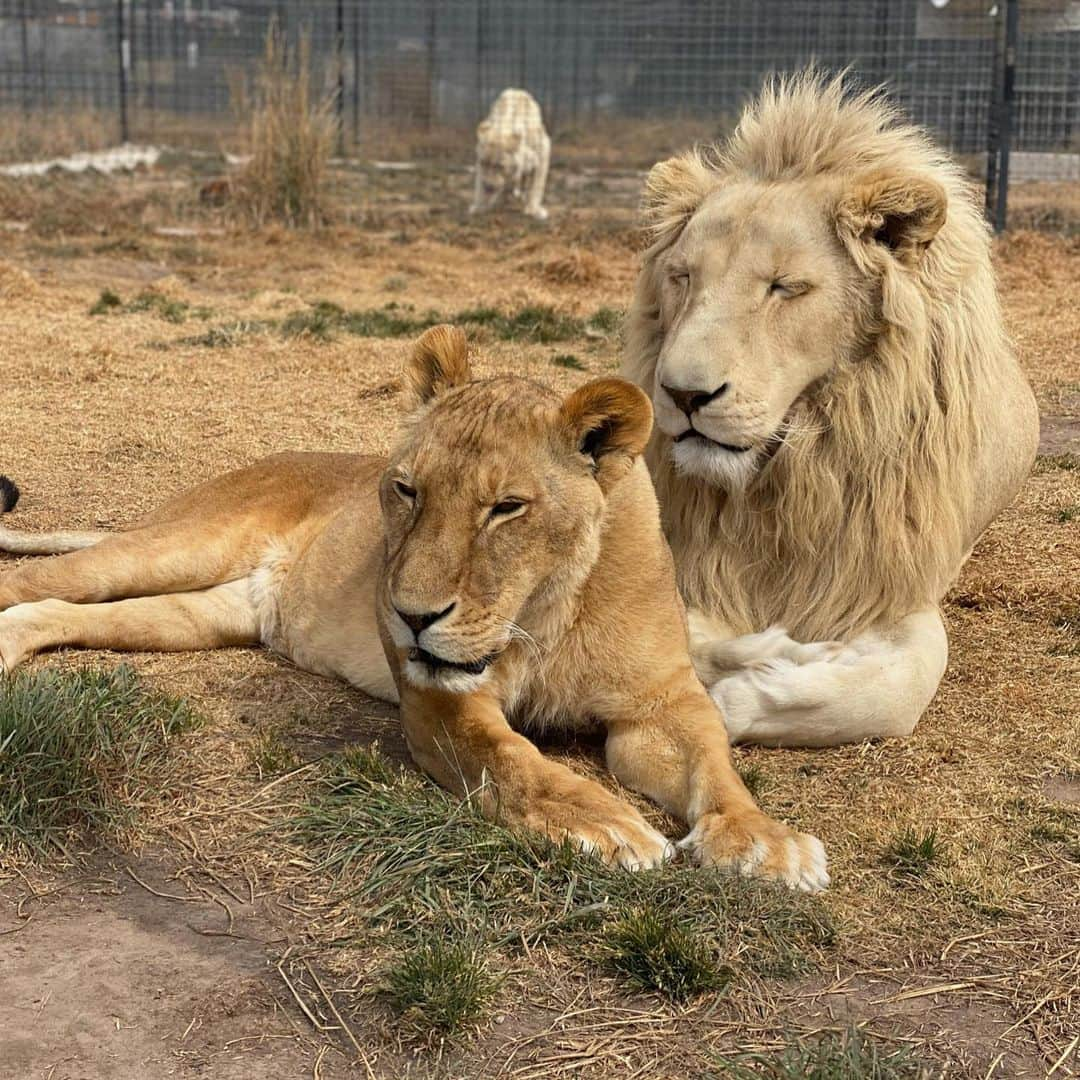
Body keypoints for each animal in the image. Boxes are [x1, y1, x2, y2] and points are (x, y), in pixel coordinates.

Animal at [466, 89, 548, 223]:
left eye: (499, 166)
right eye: (484, 163)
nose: (488, 187)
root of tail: (517, 90)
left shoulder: (543, 152)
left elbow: (536, 186)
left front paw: (533, 210)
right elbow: (479, 186)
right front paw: (479, 207)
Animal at [626, 71, 1036, 747]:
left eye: (785, 288)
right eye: (683, 277)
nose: (683, 395)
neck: (792, 474)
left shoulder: (888, 579)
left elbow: (907, 680)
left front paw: (749, 691)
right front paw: (755, 652)